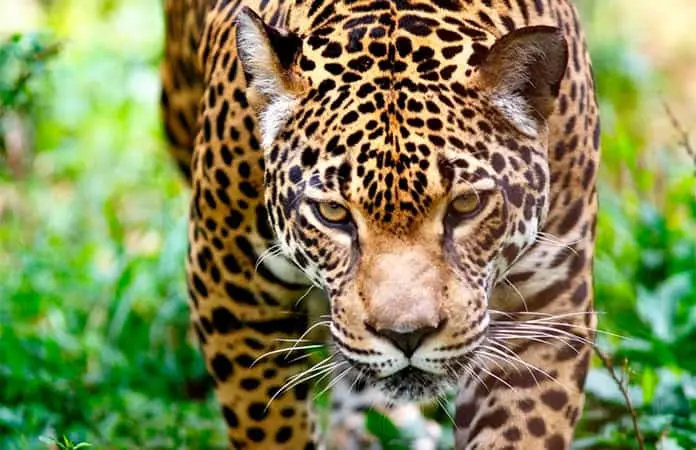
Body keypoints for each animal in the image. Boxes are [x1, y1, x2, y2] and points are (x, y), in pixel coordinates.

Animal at [161, 0, 600, 448]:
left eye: (466, 204)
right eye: (332, 213)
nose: (407, 335)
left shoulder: (545, 303)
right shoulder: (231, 290)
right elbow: (270, 425)